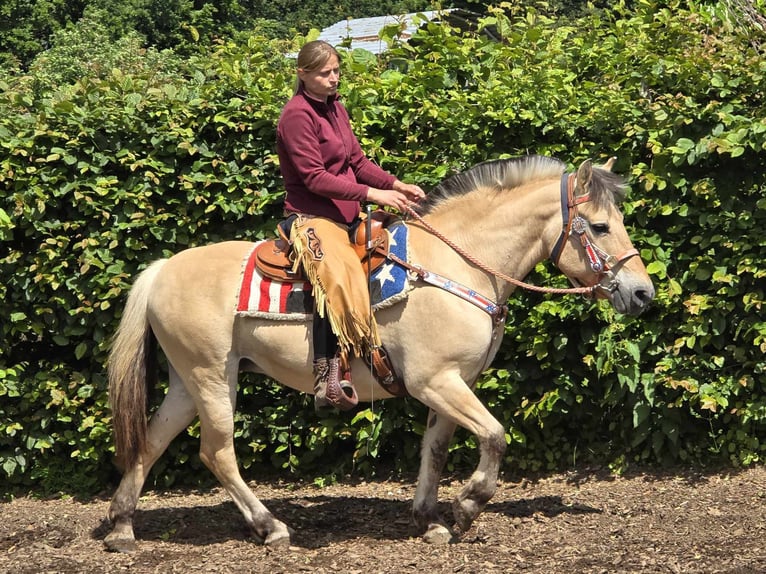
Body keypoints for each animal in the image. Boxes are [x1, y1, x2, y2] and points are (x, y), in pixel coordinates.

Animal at [103, 155, 656, 552]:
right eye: (601, 227)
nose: (643, 293)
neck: (454, 264)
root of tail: (163, 268)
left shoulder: (454, 384)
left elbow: (435, 449)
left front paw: (429, 519)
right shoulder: (436, 381)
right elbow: (495, 437)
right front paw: (467, 505)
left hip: (186, 381)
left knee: (150, 442)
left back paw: (121, 527)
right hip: (213, 377)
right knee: (216, 452)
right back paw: (270, 526)